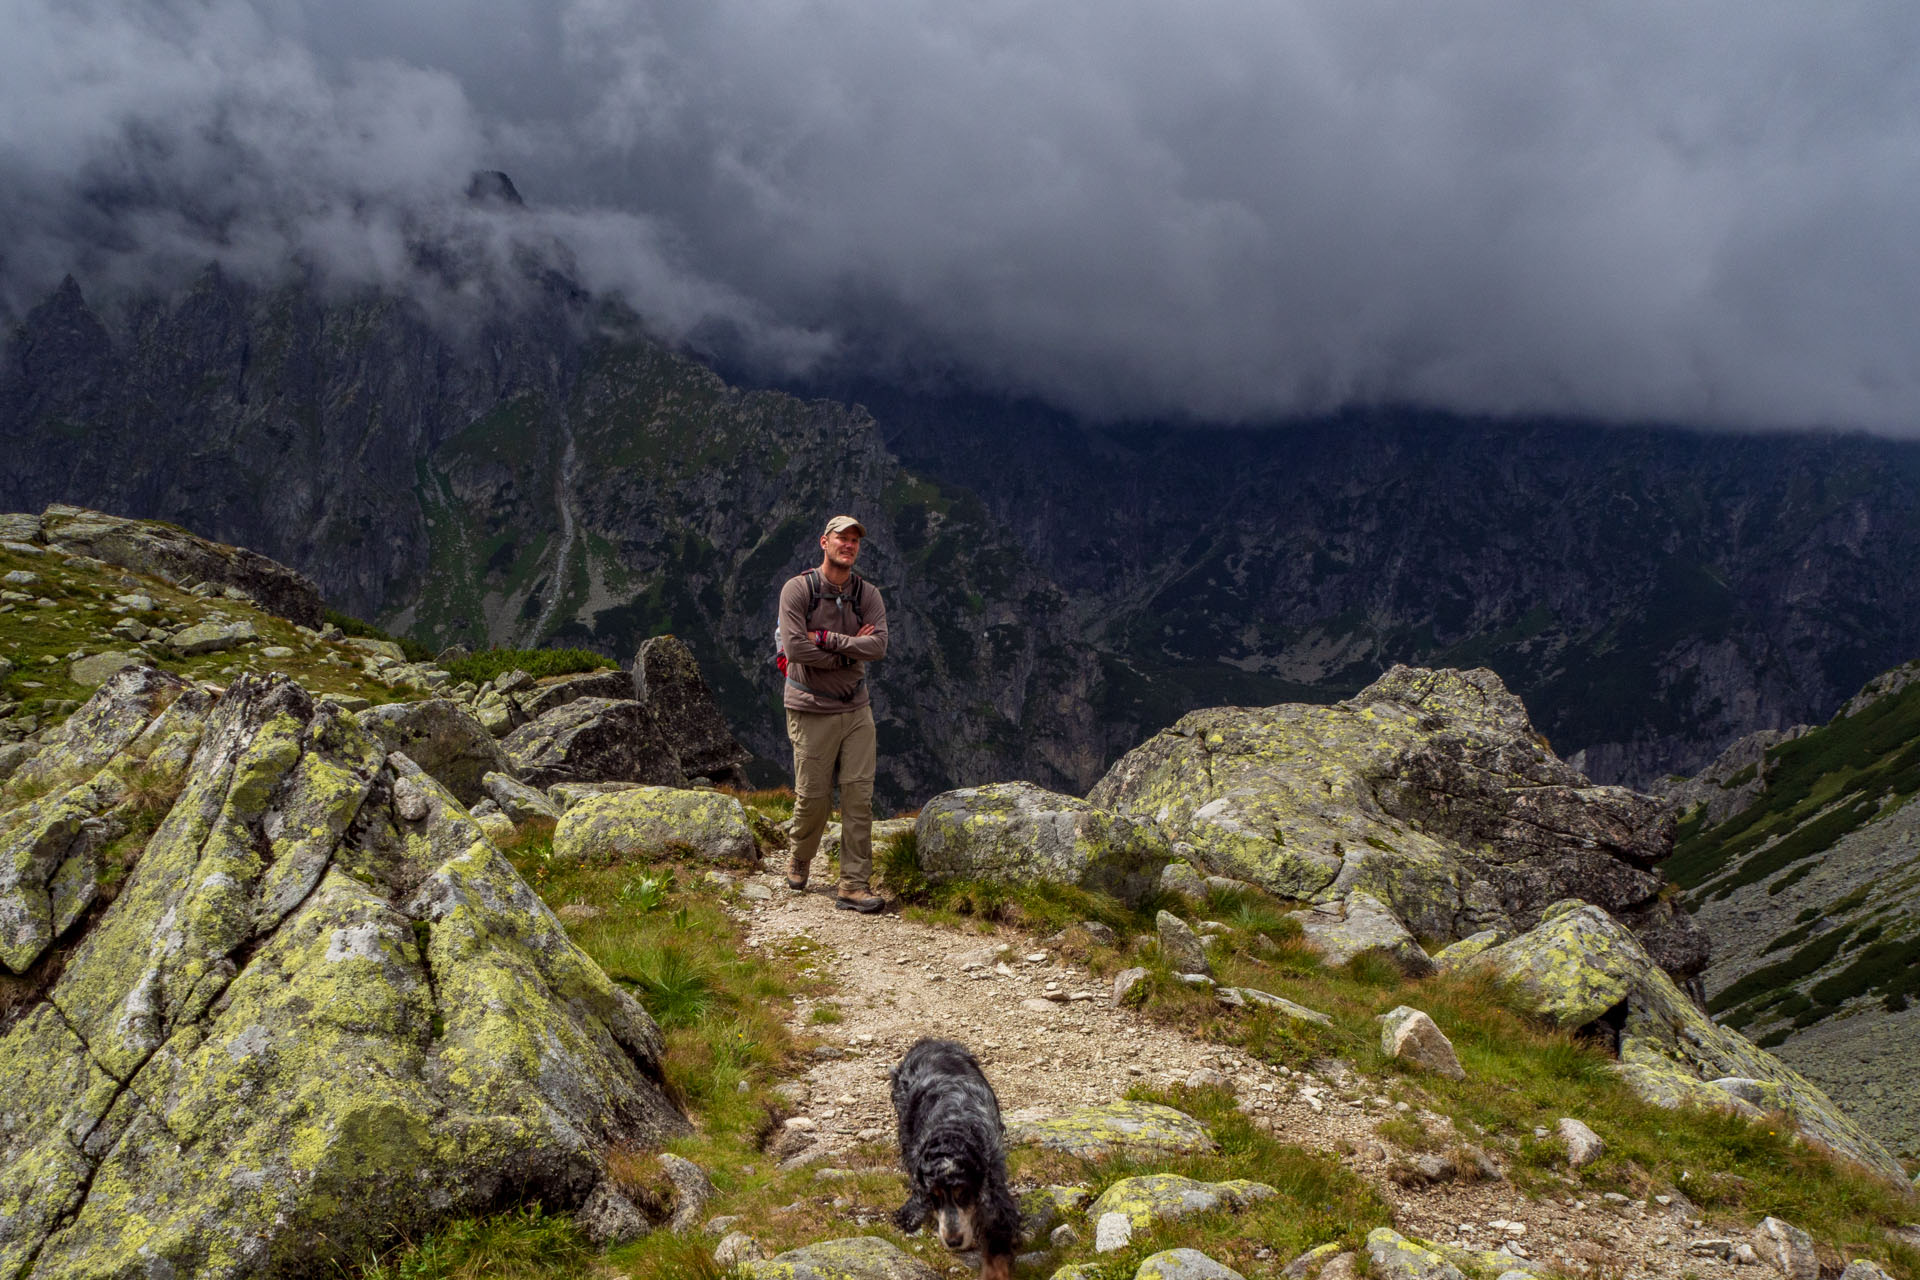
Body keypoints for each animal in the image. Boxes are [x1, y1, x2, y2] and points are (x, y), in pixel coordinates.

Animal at [890, 1043, 1029, 1280]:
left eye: (964, 1195)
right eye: (934, 1198)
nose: (953, 1242)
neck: (953, 1129)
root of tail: (929, 1042)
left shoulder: (994, 1178)